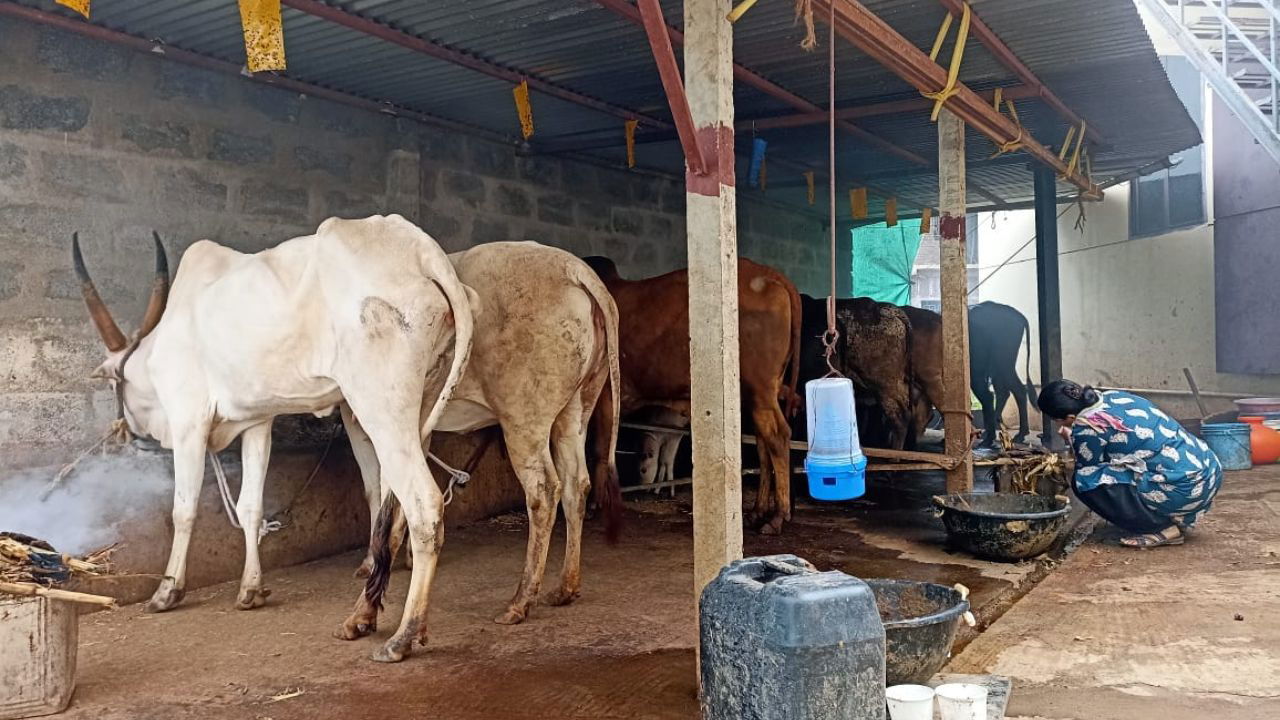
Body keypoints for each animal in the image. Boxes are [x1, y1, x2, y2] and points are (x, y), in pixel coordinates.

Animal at [74, 212, 476, 661]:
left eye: (116, 385)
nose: (123, 433)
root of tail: (422, 250)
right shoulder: (257, 423)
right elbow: (250, 506)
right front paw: (251, 589)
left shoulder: (188, 421)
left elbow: (183, 509)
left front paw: (167, 591)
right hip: (417, 409)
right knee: (392, 514)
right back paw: (361, 617)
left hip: (380, 409)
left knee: (423, 505)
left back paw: (402, 635)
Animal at [340, 239, 619, 627]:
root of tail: (574, 268)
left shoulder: (366, 420)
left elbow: (379, 494)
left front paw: (369, 579)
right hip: (578, 404)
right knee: (576, 484)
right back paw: (565, 587)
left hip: (524, 413)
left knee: (544, 490)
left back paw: (520, 600)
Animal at [583, 257, 798, 532]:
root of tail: (771, 275)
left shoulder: (605, 395)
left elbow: (599, 450)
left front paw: (593, 505)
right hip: (757, 395)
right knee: (764, 444)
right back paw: (757, 512)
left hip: (761, 391)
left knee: (778, 437)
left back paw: (777, 516)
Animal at [972, 299, 1034, 445]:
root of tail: (1019, 316)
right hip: (998, 367)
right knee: (1003, 392)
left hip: (1003, 363)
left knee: (1016, 390)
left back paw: (1019, 434)